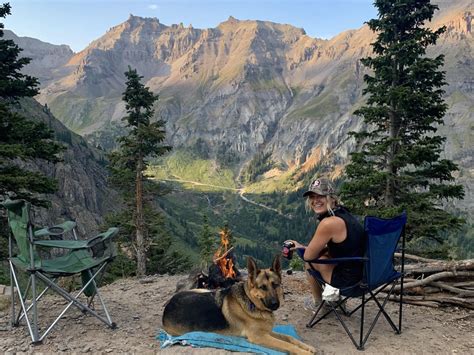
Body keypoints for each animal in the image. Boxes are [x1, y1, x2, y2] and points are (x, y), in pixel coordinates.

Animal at [162, 258, 314, 354]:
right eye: (262, 287)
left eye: (275, 285)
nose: (275, 304)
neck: (251, 302)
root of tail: (167, 307)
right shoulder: (259, 336)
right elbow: (285, 344)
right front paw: (304, 352)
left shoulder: (266, 332)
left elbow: (289, 338)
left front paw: (307, 347)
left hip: (204, 290)